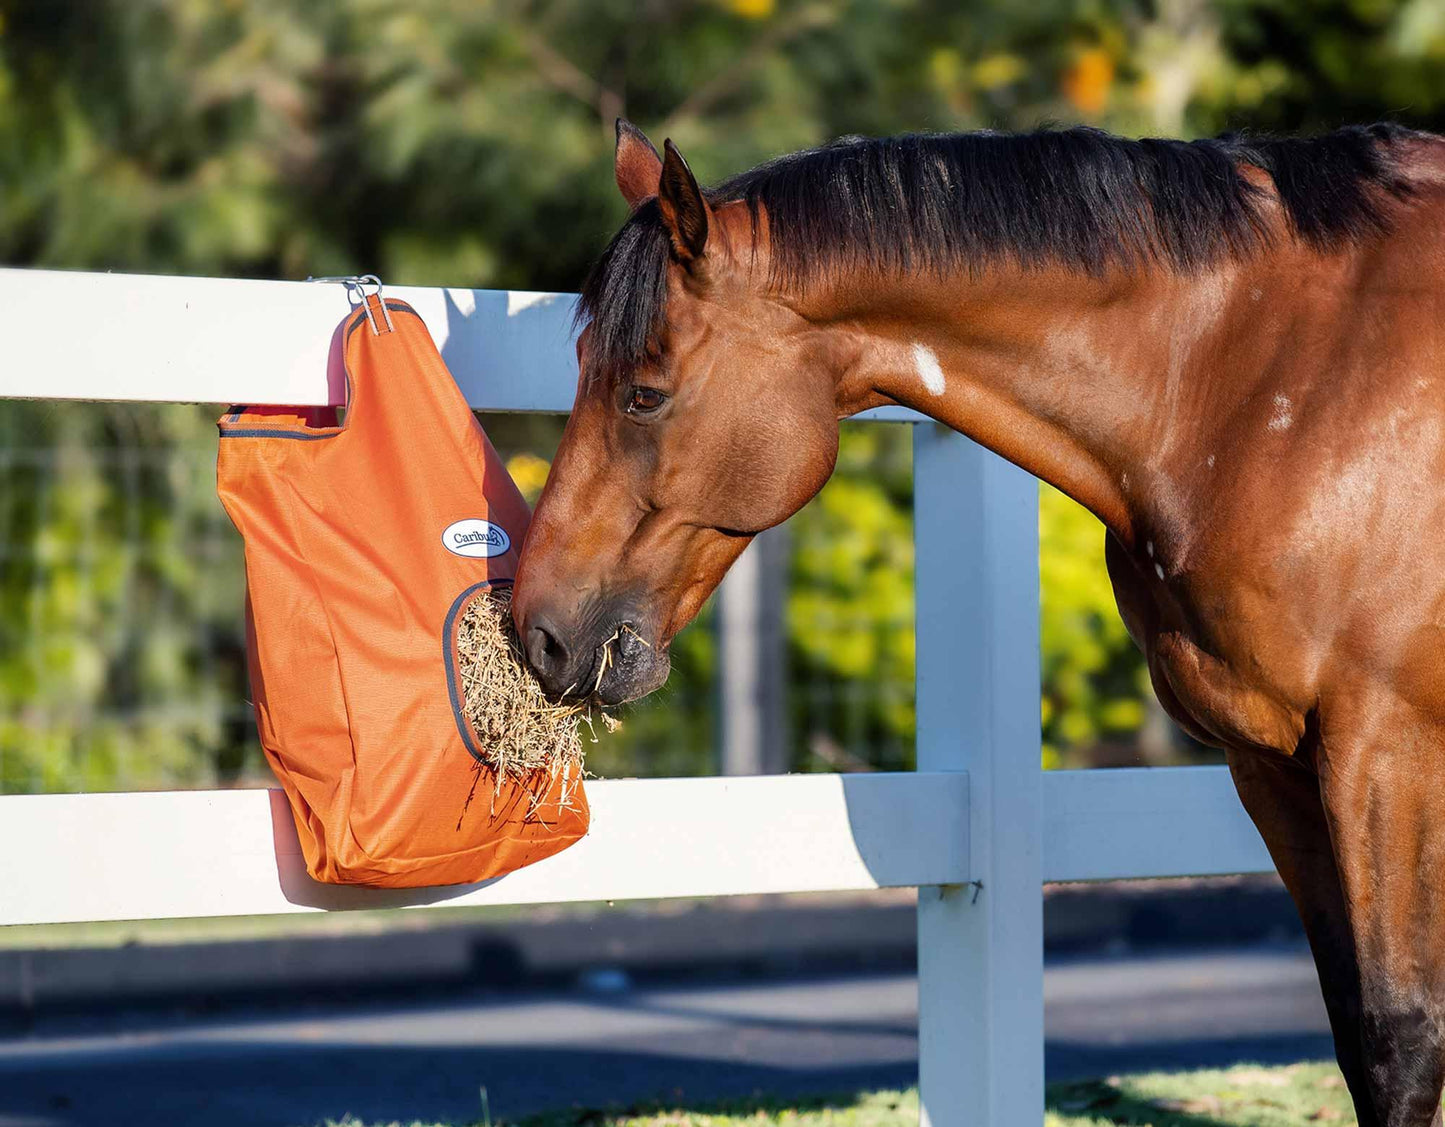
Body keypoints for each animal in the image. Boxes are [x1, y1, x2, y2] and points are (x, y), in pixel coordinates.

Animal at [510, 117, 1445, 1125]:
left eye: (644, 393)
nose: (541, 633)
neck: (1263, 377)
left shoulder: (1384, 751)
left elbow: (1399, 1037)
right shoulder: (1270, 763)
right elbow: (1353, 1028)